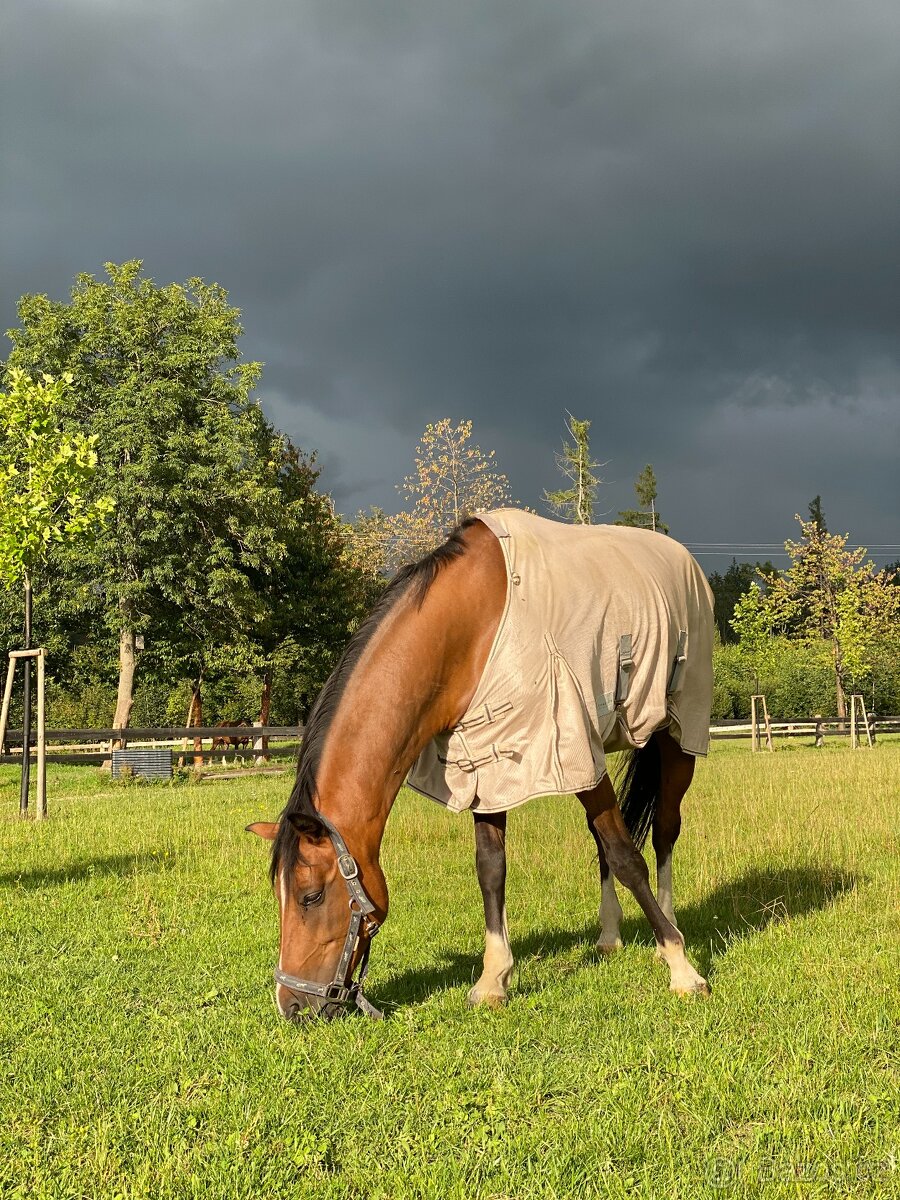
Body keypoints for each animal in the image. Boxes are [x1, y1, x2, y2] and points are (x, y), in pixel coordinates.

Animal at [247, 508, 714, 1020]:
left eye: (310, 896)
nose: (291, 1005)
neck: (471, 629)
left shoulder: (570, 744)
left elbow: (628, 857)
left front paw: (682, 968)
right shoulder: (489, 764)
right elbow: (491, 868)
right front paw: (493, 980)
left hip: (678, 734)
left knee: (664, 831)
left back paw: (668, 930)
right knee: (603, 838)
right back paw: (609, 935)